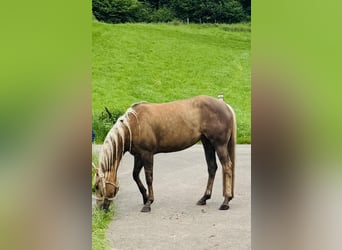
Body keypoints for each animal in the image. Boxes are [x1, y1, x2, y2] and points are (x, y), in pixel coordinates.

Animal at [93, 95, 238, 213]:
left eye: (96, 186)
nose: (100, 209)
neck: (134, 125)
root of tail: (225, 106)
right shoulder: (138, 156)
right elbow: (135, 175)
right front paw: (145, 197)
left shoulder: (147, 154)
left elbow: (149, 177)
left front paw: (148, 203)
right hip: (207, 143)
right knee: (212, 167)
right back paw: (204, 198)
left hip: (219, 145)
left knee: (227, 166)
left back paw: (225, 201)